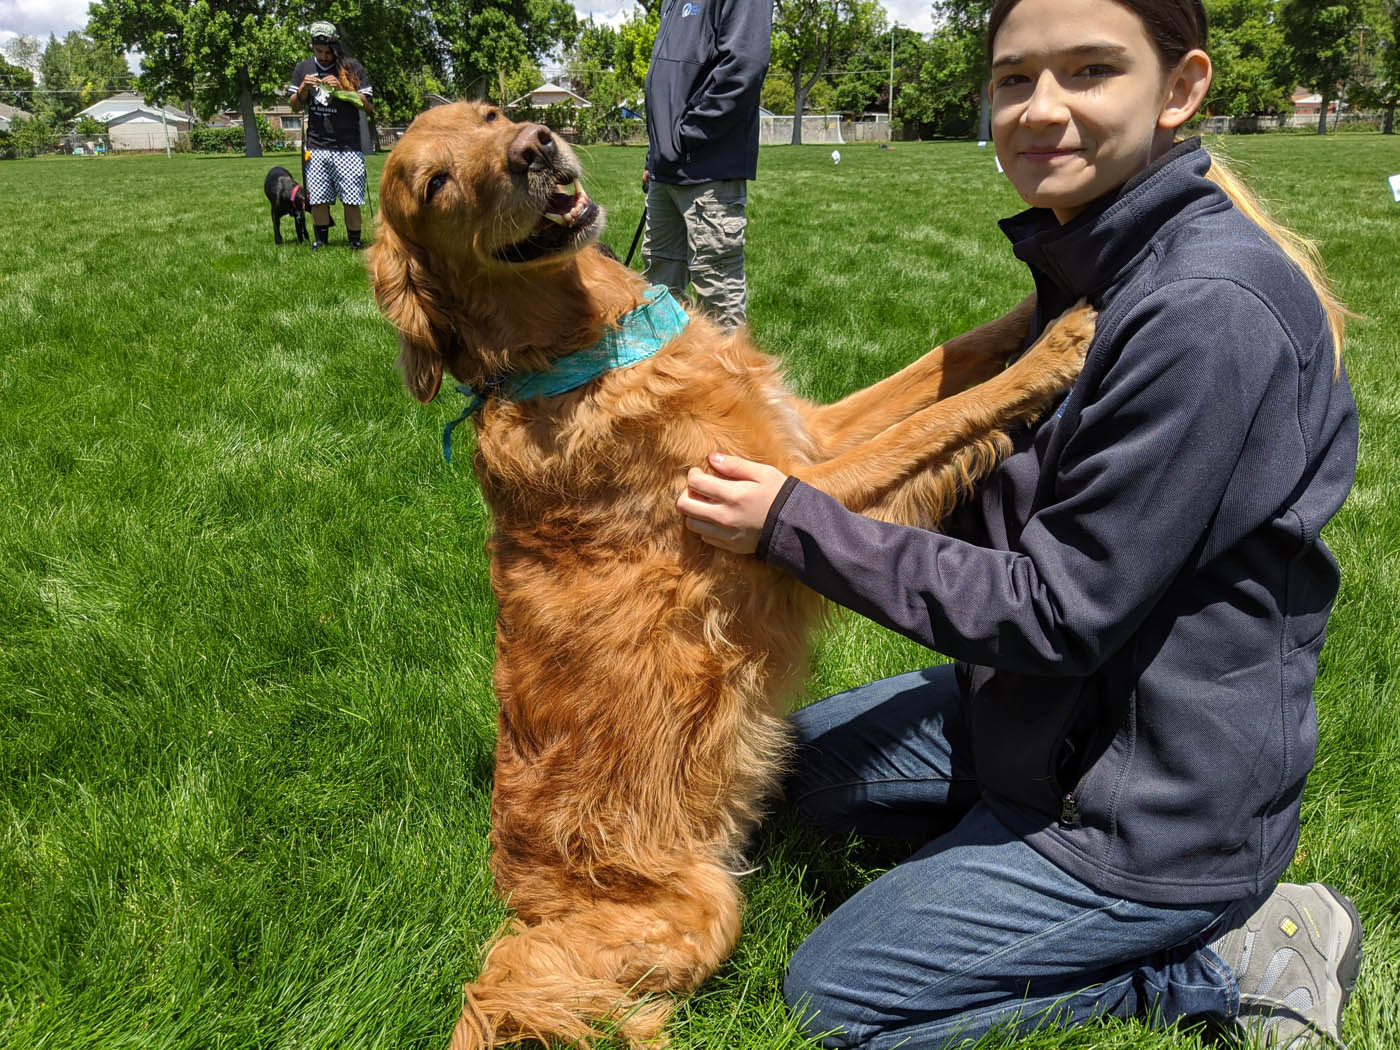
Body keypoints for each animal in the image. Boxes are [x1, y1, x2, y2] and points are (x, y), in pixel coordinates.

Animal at [369, 100, 1092, 1050]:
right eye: (435, 185)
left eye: (490, 115)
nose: (535, 147)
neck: (589, 346)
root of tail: (520, 902)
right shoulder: (796, 491)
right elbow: (942, 416)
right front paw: (1062, 345)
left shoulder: (807, 438)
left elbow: (943, 364)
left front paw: (1034, 306)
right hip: (691, 912)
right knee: (535, 1001)